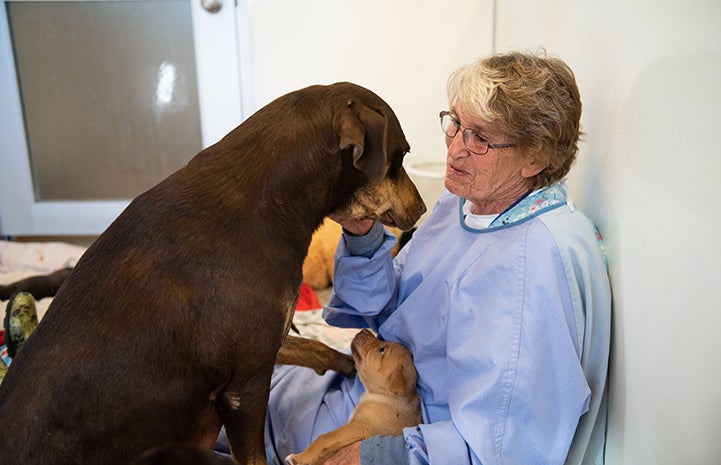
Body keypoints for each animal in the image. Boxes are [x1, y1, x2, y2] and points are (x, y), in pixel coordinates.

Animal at [286, 328, 422, 464]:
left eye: (382, 350)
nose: (364, 330)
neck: (384, 396)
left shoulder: (356, 428)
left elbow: (324, 438)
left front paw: (298, 457)